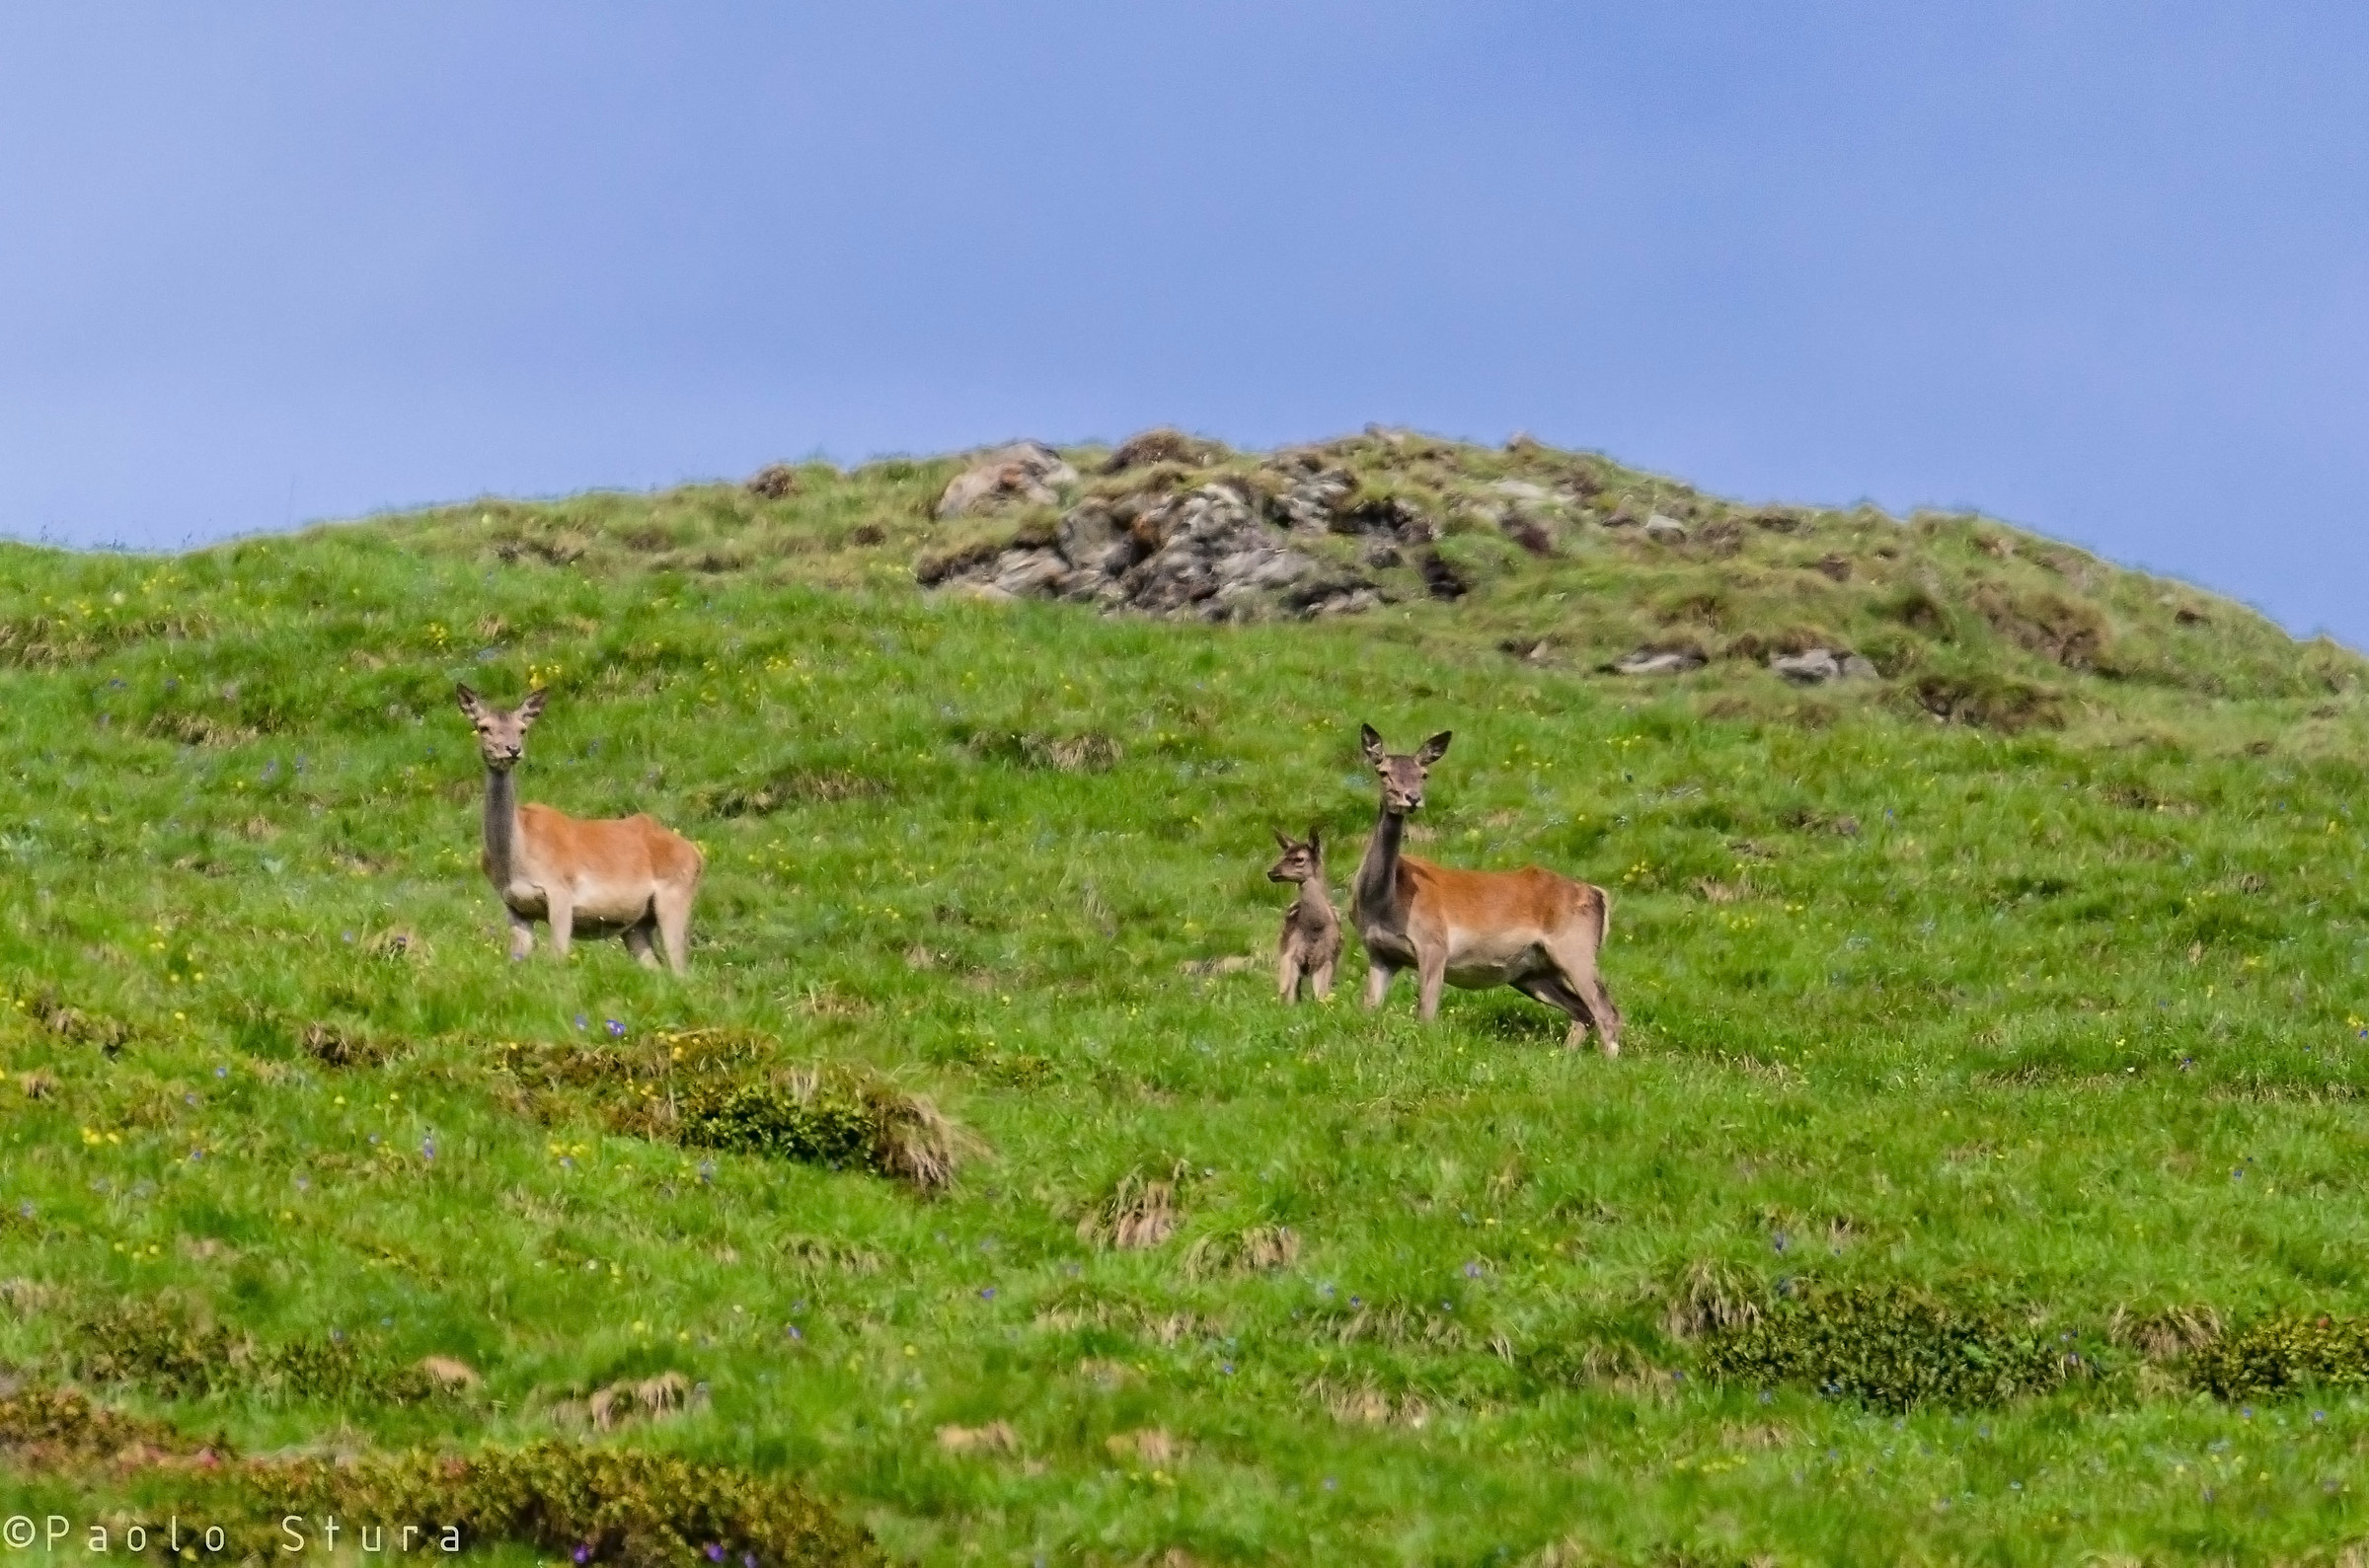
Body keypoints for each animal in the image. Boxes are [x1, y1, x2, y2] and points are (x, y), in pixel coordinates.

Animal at [454, 684, 705, 974]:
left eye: (522, 729)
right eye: (483, 727)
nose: (512, 750)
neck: (515, 859)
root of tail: (697, 854)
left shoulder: (561, 891)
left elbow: (558, 956)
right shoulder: (514, 905)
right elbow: (516, 958)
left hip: (676, 895)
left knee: (681, 968)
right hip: (636, 924)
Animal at [1266, 825, 1342, 1003]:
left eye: (1299, 859)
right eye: (1283, 855)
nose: (1271, 872)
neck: (1315, 927)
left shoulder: (1326, 958)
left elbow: (1321, 996)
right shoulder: (1290, 954)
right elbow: (1289, 996)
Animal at [1351, 724, 1622, 1054]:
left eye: (1424, 774)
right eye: (1383, 772)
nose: (1411, 798)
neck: (1382, 902)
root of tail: (1599, 894)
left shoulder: (1433, 943)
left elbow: (1426, 1014)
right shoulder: (1380, 953)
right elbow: (1368, 1008)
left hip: (1576, 948)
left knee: (1607, 1012)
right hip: (1532, 971)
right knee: (1583, 1011)